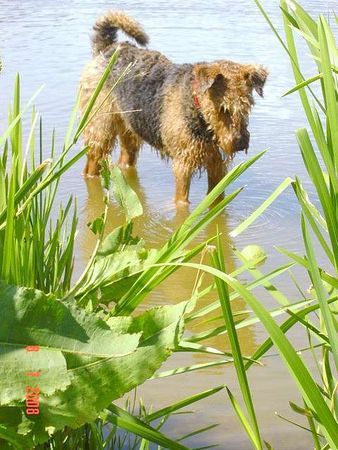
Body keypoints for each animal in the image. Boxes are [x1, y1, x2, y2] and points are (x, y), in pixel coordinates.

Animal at [79, 11, 266, 204]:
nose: (240, 143)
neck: (199, 114)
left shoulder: (216, 165)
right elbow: (182, 202)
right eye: (223, 108)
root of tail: (107, 48)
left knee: (124, 162)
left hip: (130, 132)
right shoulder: (183, 165)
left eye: (247, 106)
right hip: (100, 131)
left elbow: (216, 200)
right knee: (90, 167)